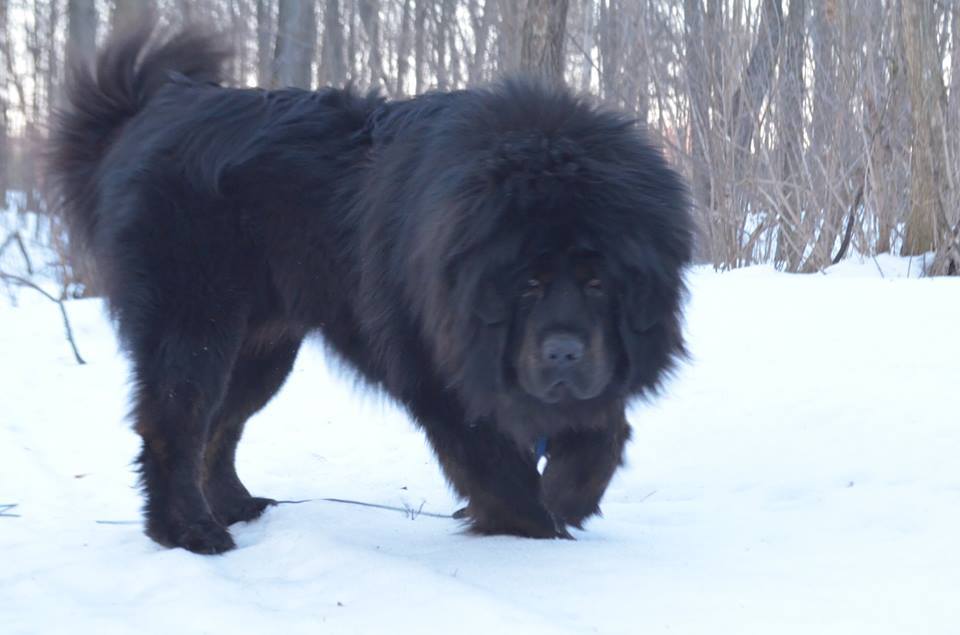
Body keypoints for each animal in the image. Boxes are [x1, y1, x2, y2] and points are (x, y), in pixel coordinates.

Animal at [48, 22, 692, 556]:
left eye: (598, 283)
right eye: (528, 284)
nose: (563, 352)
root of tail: (151, 113)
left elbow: (601, 431)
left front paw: (568, 498)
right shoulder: (435, 369)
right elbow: (496, 465)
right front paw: (534, 531)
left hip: (262, 344)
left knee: (221, 424)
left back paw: (234, 506)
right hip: (194, 323)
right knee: (176, 424)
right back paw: (187, 532)